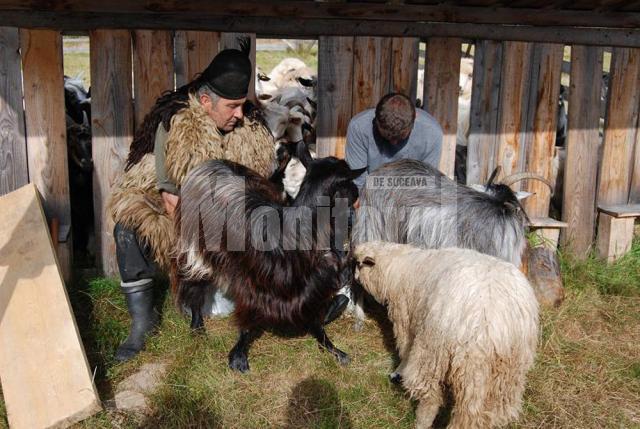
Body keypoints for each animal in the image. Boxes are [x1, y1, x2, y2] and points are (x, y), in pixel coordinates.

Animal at [352, 241, 536, 428]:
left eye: (359, 264)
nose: (355, 278)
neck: (398, 268)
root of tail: (500, 327)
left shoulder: (405, 319)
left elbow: (405, 349)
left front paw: (398, 370)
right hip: (509, 375)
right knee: (497, 411)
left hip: (439, 355)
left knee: (433, 397)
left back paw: (422, 421)